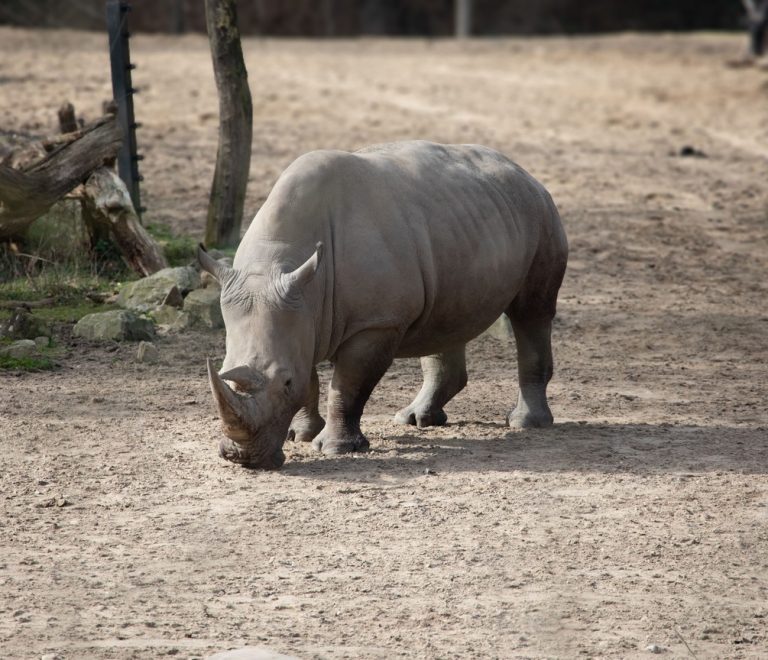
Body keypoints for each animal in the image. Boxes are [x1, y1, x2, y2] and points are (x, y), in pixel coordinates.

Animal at [199, 141, 568, 469]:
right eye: (223, 373)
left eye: (285, 382)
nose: (242, 458)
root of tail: (525, 173)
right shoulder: (301, 312)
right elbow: (311, 377)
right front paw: (299, 435)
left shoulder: (376, 322)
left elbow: (346, 386)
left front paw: (336, 448)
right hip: (465, 222)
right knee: (445, 320)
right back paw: (415, 419)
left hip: (541, 214)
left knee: (531, 313)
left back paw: (525, 423)